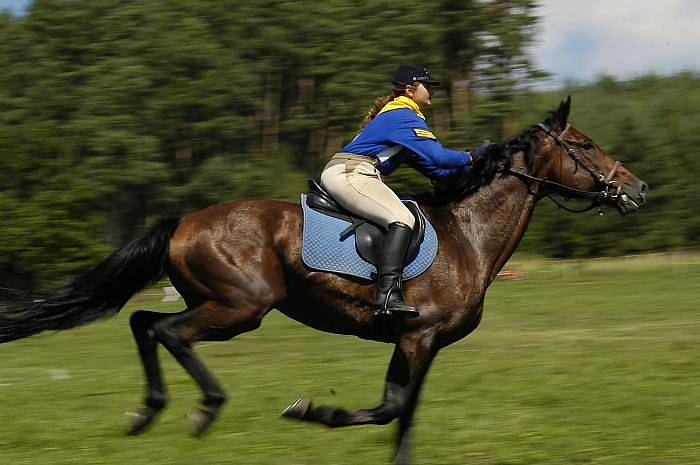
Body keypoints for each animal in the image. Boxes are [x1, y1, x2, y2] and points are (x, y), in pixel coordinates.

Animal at [0, 99, 644, 464]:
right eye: (584, 145)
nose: (636, 188)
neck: (469, 235)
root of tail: (183, 221)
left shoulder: (425, 344)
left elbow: (403, 411)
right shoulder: (417, 336)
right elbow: (388, 408)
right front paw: (311, 411)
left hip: (216, 301)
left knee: (143, 322)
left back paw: (147, 413)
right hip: (240, 307)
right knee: (169, 332)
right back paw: (203, 409)